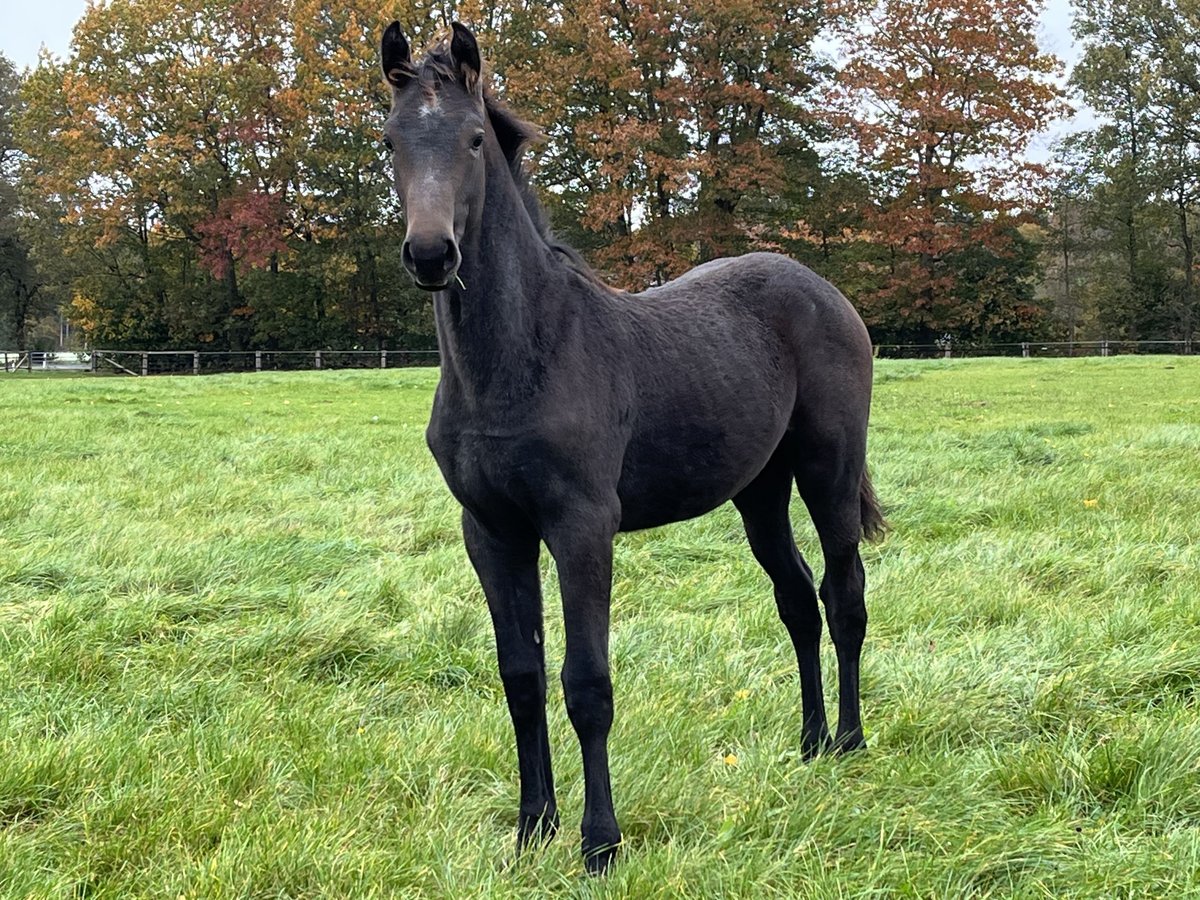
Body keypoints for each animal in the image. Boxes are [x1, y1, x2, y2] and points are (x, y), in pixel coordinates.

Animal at [379, 24, 888, 878]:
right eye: (389, 141)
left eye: (475, 138)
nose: (429, 254)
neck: (518, 360)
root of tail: (822, 288)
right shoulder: (491, 531)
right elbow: (521, 677)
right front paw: (532, 828)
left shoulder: (582, 527)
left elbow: (587, 684)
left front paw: (599, 842)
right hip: (759, 489)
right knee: (794, 601)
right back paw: (810, 741)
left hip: (828, 467)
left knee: (842, 592)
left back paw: (849, 740)